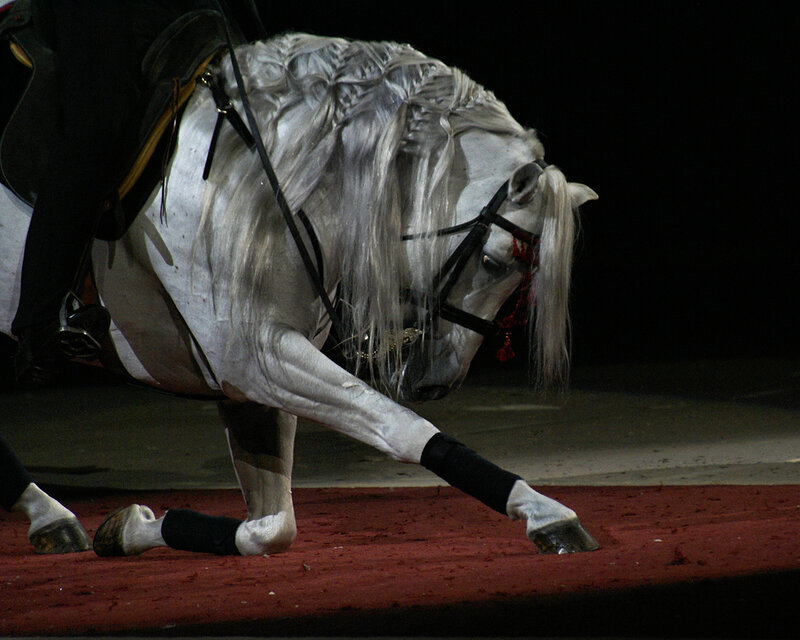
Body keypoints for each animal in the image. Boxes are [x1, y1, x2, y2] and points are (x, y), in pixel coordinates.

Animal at [1, 33, 598, 556]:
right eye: (495, 262)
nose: (438, 382)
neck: (262, 177)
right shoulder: (256, 358)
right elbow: (399, 427)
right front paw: (546, 513)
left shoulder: (249, 383)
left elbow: (272, 527)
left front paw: (131, 528)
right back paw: (48, 514)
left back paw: (51, 518)